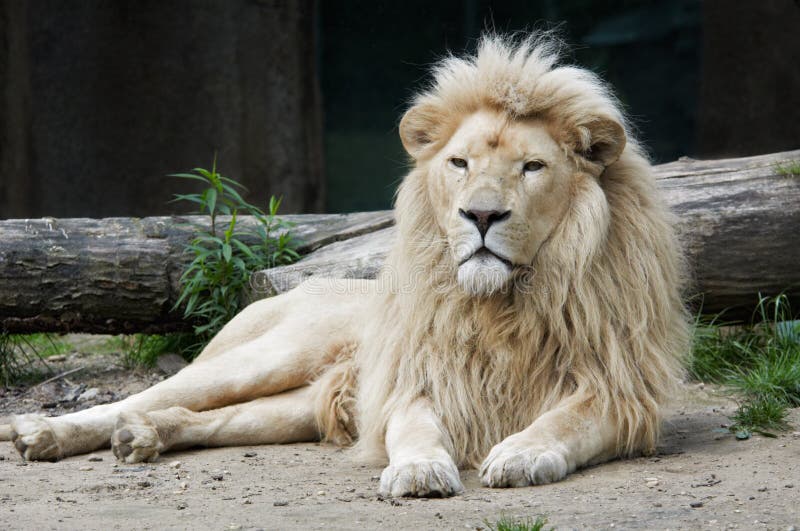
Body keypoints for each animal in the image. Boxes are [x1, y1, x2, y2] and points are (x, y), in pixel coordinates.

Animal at [1, 34, 688, 498]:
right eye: (460, 163)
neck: (504, 305)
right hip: (268, 357)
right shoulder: (416, 381)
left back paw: (143, 436)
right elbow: (414, 429)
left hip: (295, 407)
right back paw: (42, 433)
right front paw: (418, 469)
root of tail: (293, 289)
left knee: (205, 418)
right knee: (139, 397)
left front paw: (517, 455)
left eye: (532, 167)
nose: (481, 215)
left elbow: (561, 422)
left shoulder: (623, 394)